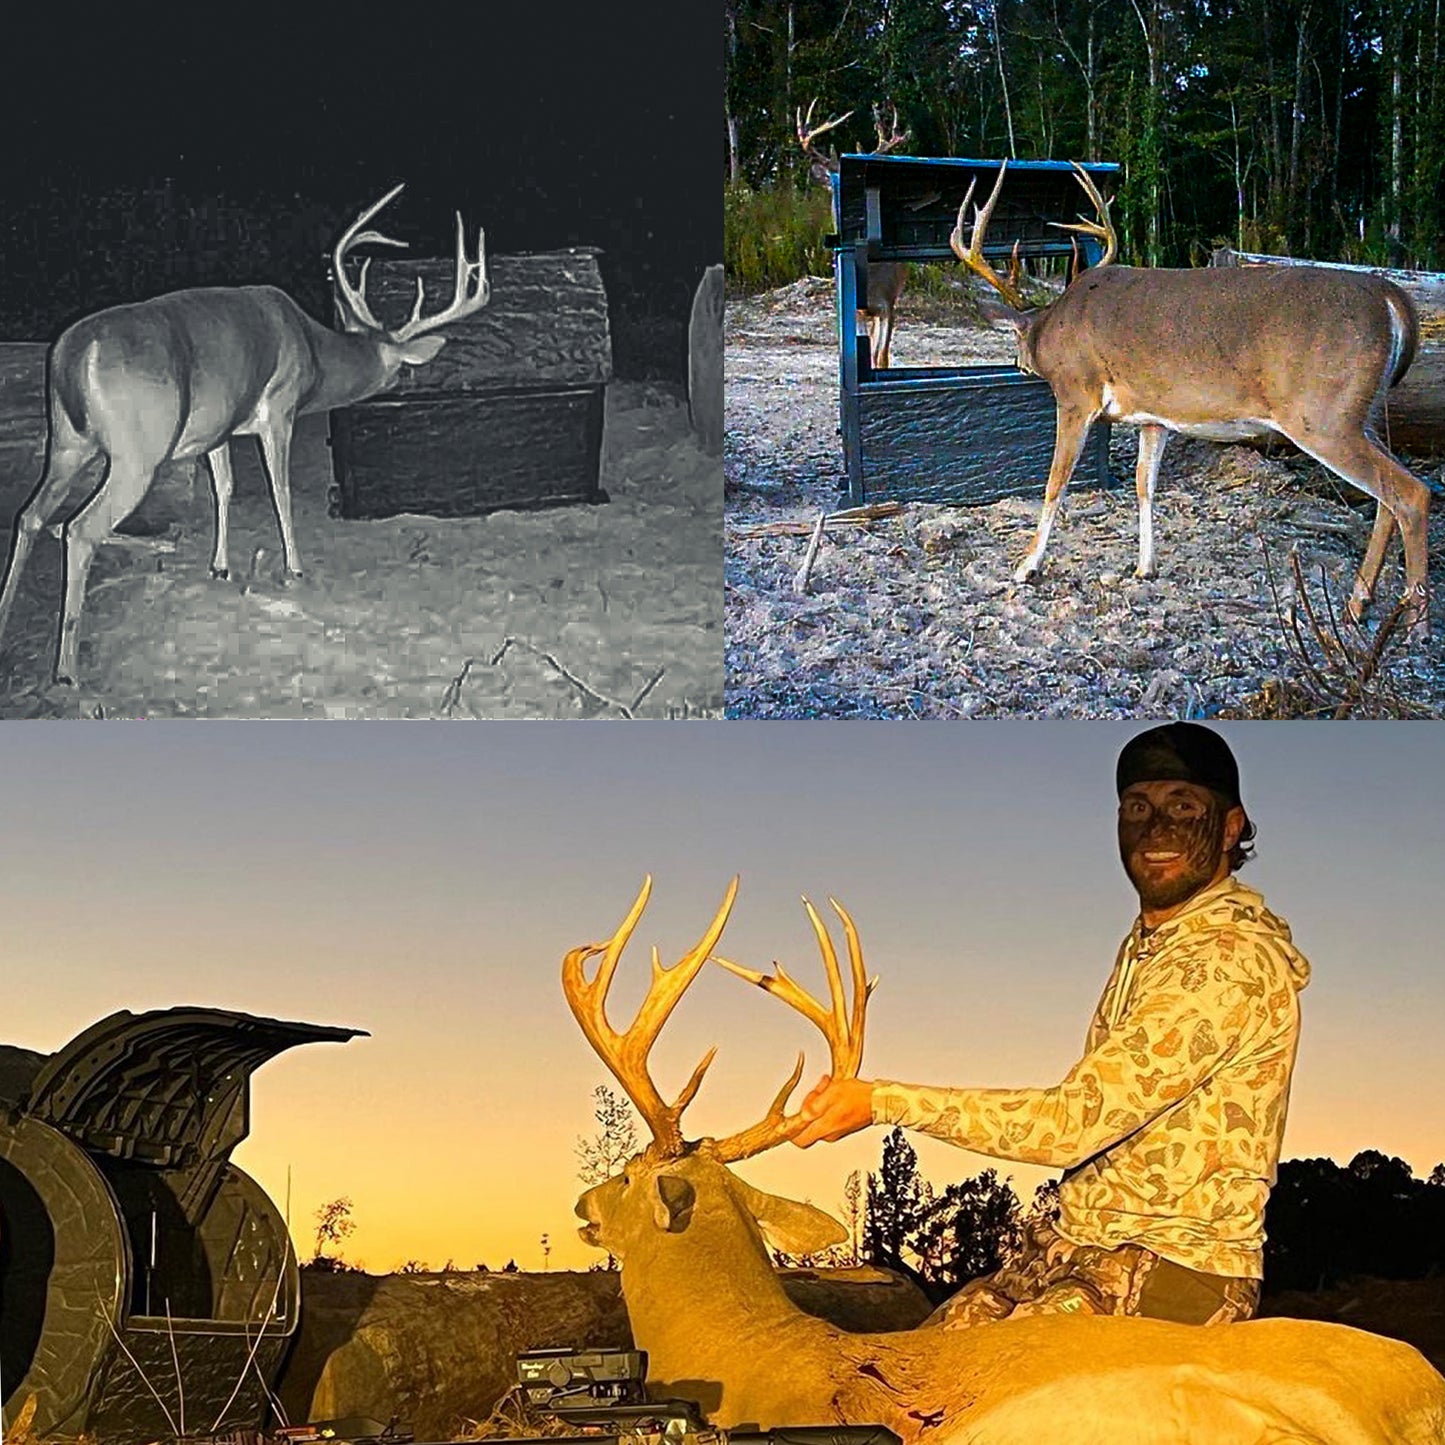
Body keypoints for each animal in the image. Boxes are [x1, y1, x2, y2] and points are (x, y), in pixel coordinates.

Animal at [0, 183, 489, 685]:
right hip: (138, 453)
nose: (402, 384)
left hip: (66, 441)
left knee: (30, 515)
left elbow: (226, 487)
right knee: (79, 529)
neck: (312, 351)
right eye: (398, 368)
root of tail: (74, 354)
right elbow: (281, 490)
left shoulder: (217, 429)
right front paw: (295, 569)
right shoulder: (279, 407)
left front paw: (220, 567)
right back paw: (66, 671)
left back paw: (4, 619)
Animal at [949, 161, 1431, 637]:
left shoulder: (1076, 394)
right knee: (1389, 494)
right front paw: (1144, 567)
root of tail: (1393, 298)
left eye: (1016, 342)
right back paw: (1357, 603)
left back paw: (1413, 621)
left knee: (1412, 492)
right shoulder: (1154, 416)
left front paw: (1026, 566)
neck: (1052, 327)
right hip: (1359, 411)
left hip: (1322, 414)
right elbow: (1144, 484)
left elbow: (1055, 482)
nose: (1020, 365)